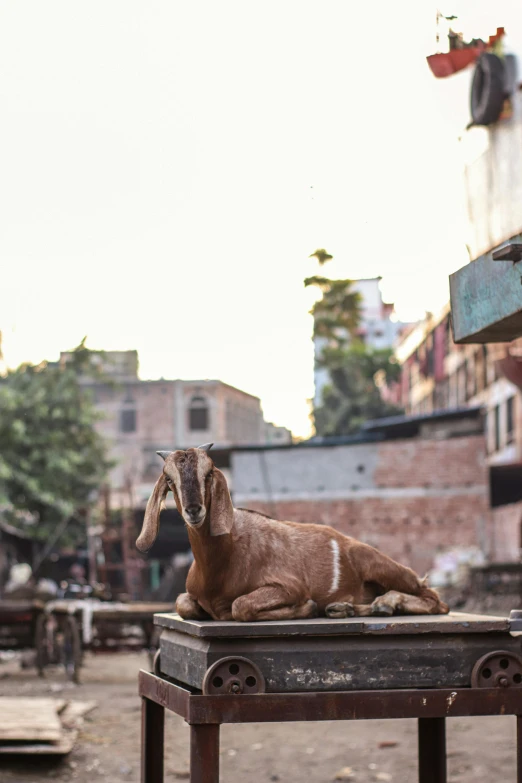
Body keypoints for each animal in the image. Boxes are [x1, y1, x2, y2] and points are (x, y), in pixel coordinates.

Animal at [136, 448, 448, 624]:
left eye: (209, 472)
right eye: (169, 479)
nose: (194, 510)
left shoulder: (289, 585)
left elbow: (240, 606)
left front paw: (307, 608)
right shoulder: (190, 596)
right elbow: (183, 603)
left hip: (380, 564)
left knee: (435, 599)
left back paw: (385, 604)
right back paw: (345, 608)